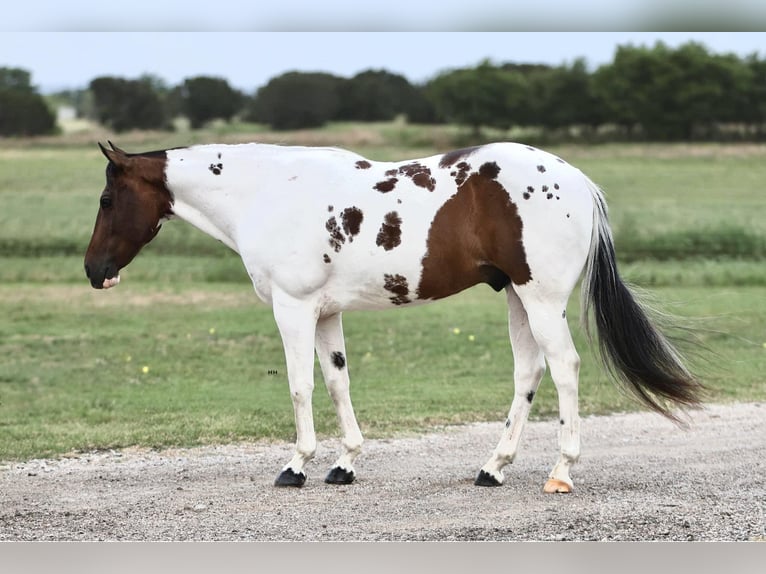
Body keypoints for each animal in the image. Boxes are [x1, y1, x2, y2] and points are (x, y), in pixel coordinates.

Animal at [84, 141, 704, 496]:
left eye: (107, 201)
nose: (95, 271)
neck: (269, 190)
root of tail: (578, 181)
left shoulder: (293, 308)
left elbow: (300, 386)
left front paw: (297, 466)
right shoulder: (325, 313)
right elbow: (337, 382)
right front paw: (344, 464)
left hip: (541, 298)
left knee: (566, 368)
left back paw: (561, 472)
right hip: (518, 299)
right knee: (528, 374)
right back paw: (493, 467)